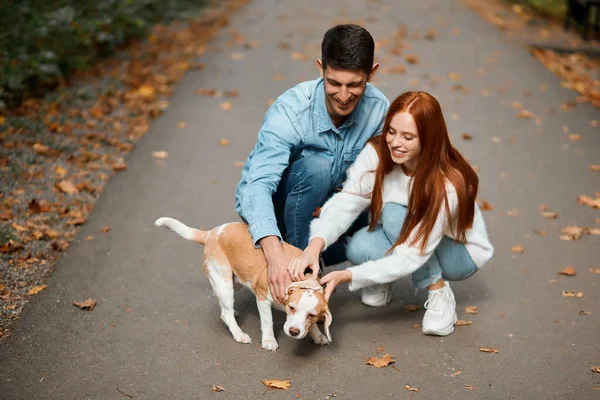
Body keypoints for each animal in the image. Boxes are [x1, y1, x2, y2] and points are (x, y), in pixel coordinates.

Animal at [155, 217, 332, 352]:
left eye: (311, 315)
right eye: (292, 308)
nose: (294, 332)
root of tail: (211, 233)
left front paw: (317, 335)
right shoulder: (262, 299)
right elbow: (267, 322)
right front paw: (269, 341)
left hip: (234, 282)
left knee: (222, 305)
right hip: (225, 283)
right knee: (225, 314)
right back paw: (238, 333)